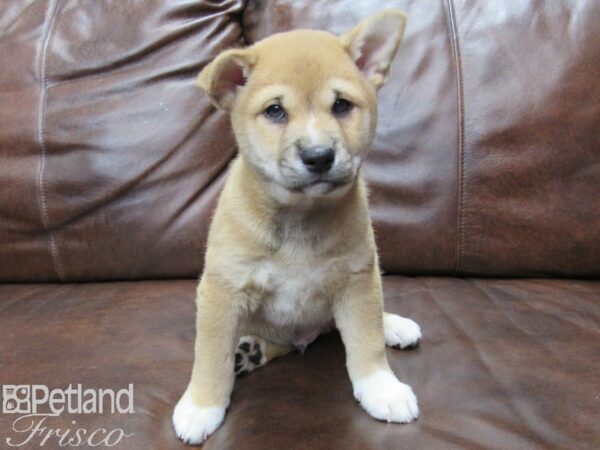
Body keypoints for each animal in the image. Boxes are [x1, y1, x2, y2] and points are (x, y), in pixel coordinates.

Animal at [172, 8, 422, 444]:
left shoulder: (357, 278)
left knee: (358, 321)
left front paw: (382, 387)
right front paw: (202, 405)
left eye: (341, 105)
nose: (319, 156)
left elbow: (366, 340)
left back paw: (393, 324)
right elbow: (210, 354)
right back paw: (249, 351)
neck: (300, 219)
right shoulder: (224, 289)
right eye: (275, 111)